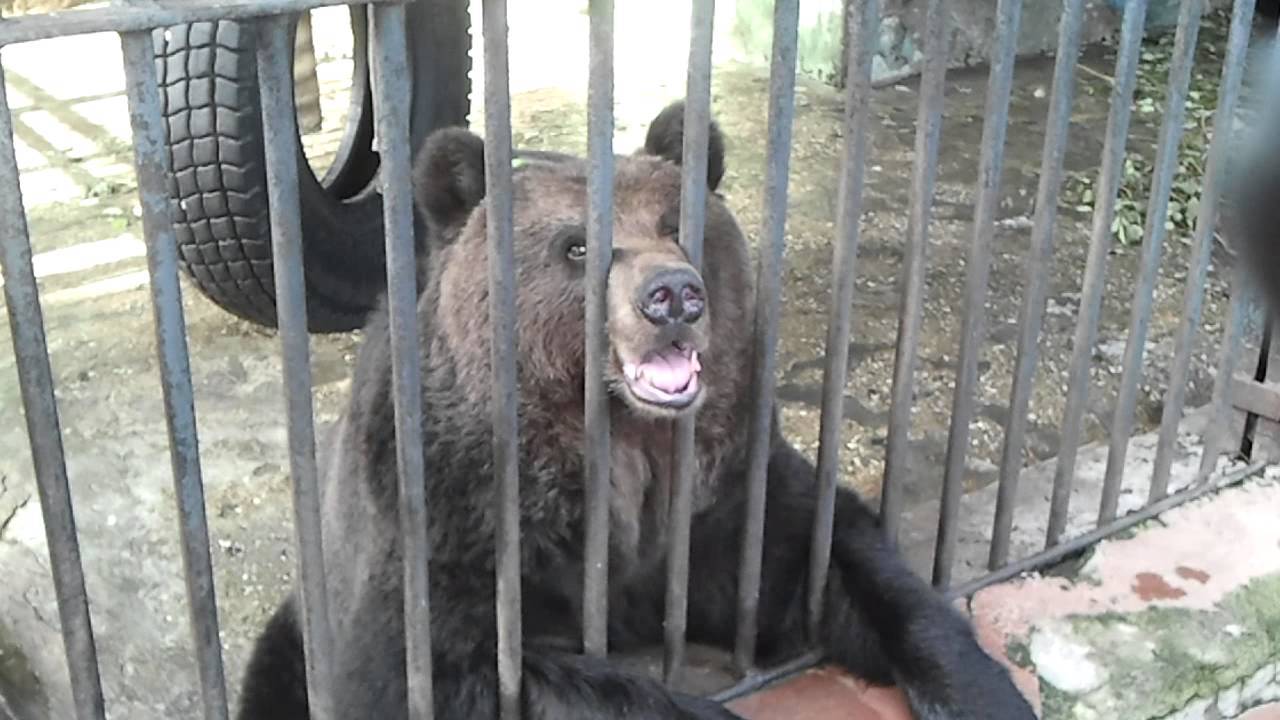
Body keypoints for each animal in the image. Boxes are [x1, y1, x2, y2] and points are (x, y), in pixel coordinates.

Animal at [235, 101, 1039, 717]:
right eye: (576, 246)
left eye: (677, 225)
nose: (673, 295)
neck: (620, 446)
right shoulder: (446, 521)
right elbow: (442, 670)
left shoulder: (721, 502)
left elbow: (835, 560)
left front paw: (983, 690)